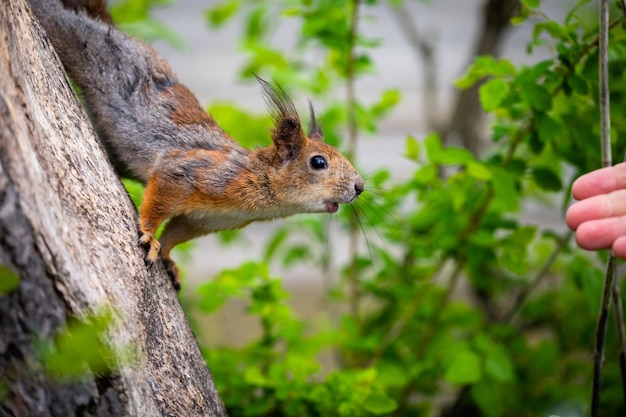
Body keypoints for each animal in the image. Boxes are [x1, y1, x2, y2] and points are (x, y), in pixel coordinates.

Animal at [26, 0, 364, 288]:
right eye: (318, 162)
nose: (360, 186)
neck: (257, 186)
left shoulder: (202, 219)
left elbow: (176, 233)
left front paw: (167, 257)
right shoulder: (192, 174)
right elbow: (158, 201)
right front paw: (148, 235)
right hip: (84, 43)